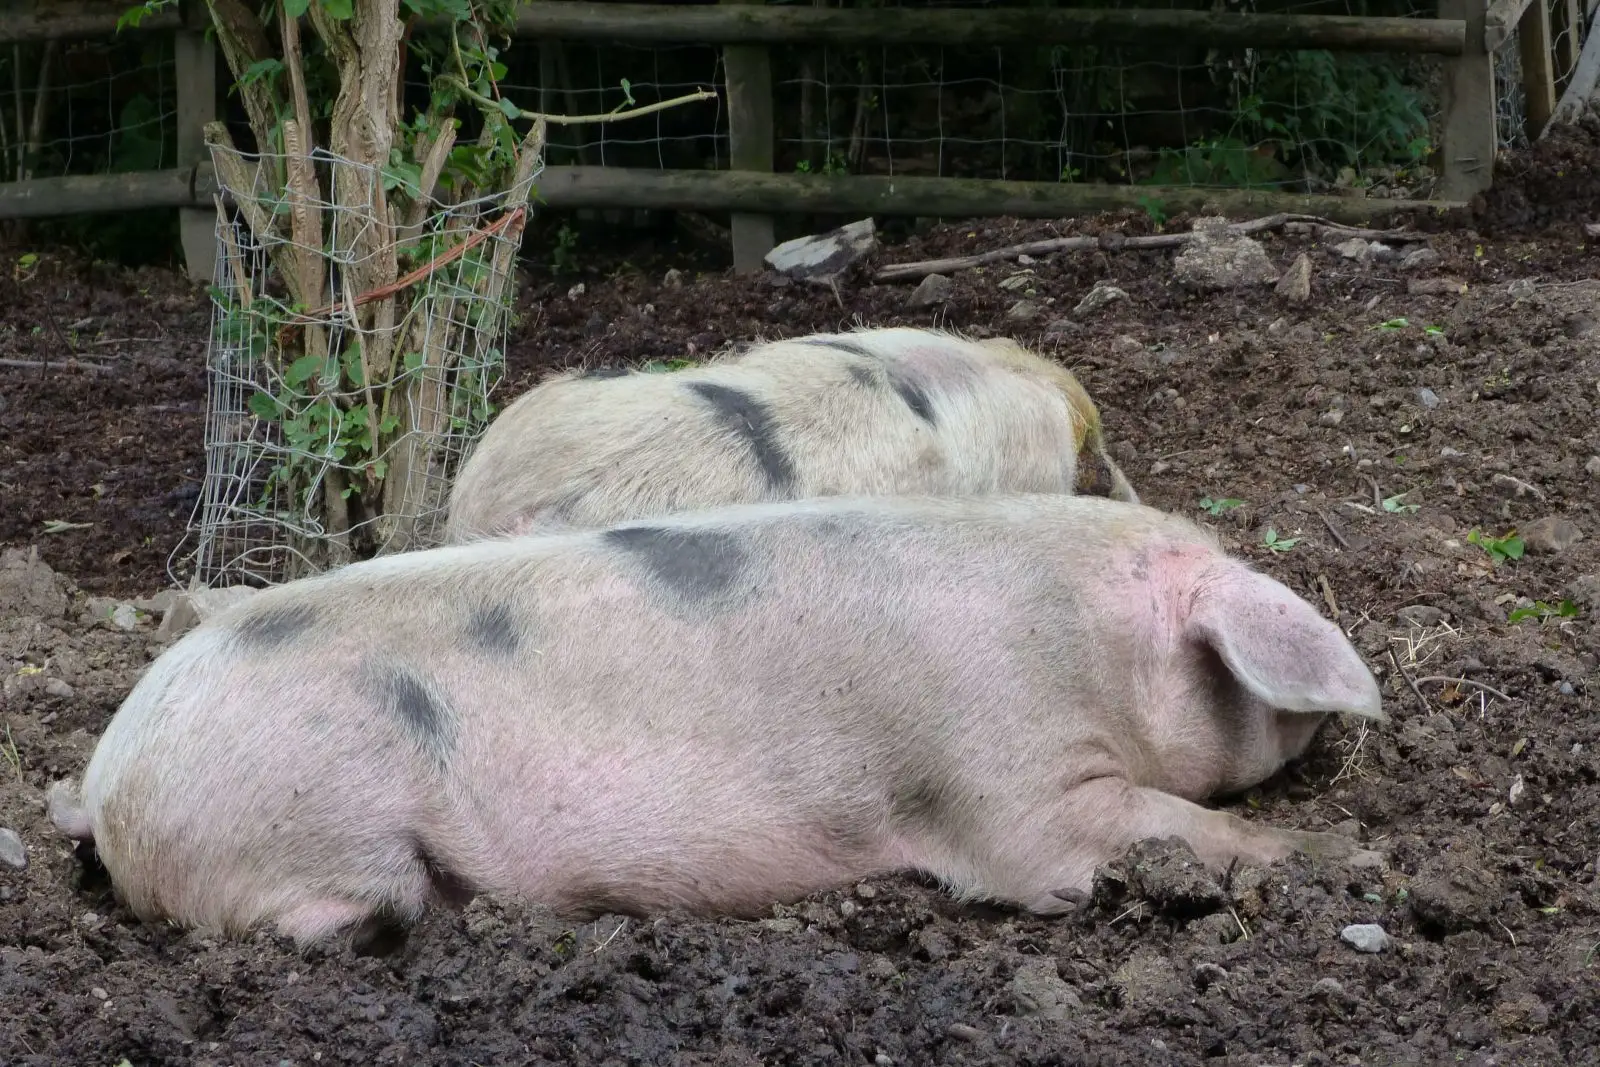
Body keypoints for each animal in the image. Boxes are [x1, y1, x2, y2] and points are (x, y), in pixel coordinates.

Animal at [47, 493, 1384, 950]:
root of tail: (109, 787)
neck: (1088, 644)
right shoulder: (1007, 788)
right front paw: (1345, 857)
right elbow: (1123, 834)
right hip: (316, 826)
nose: (1338, 733)